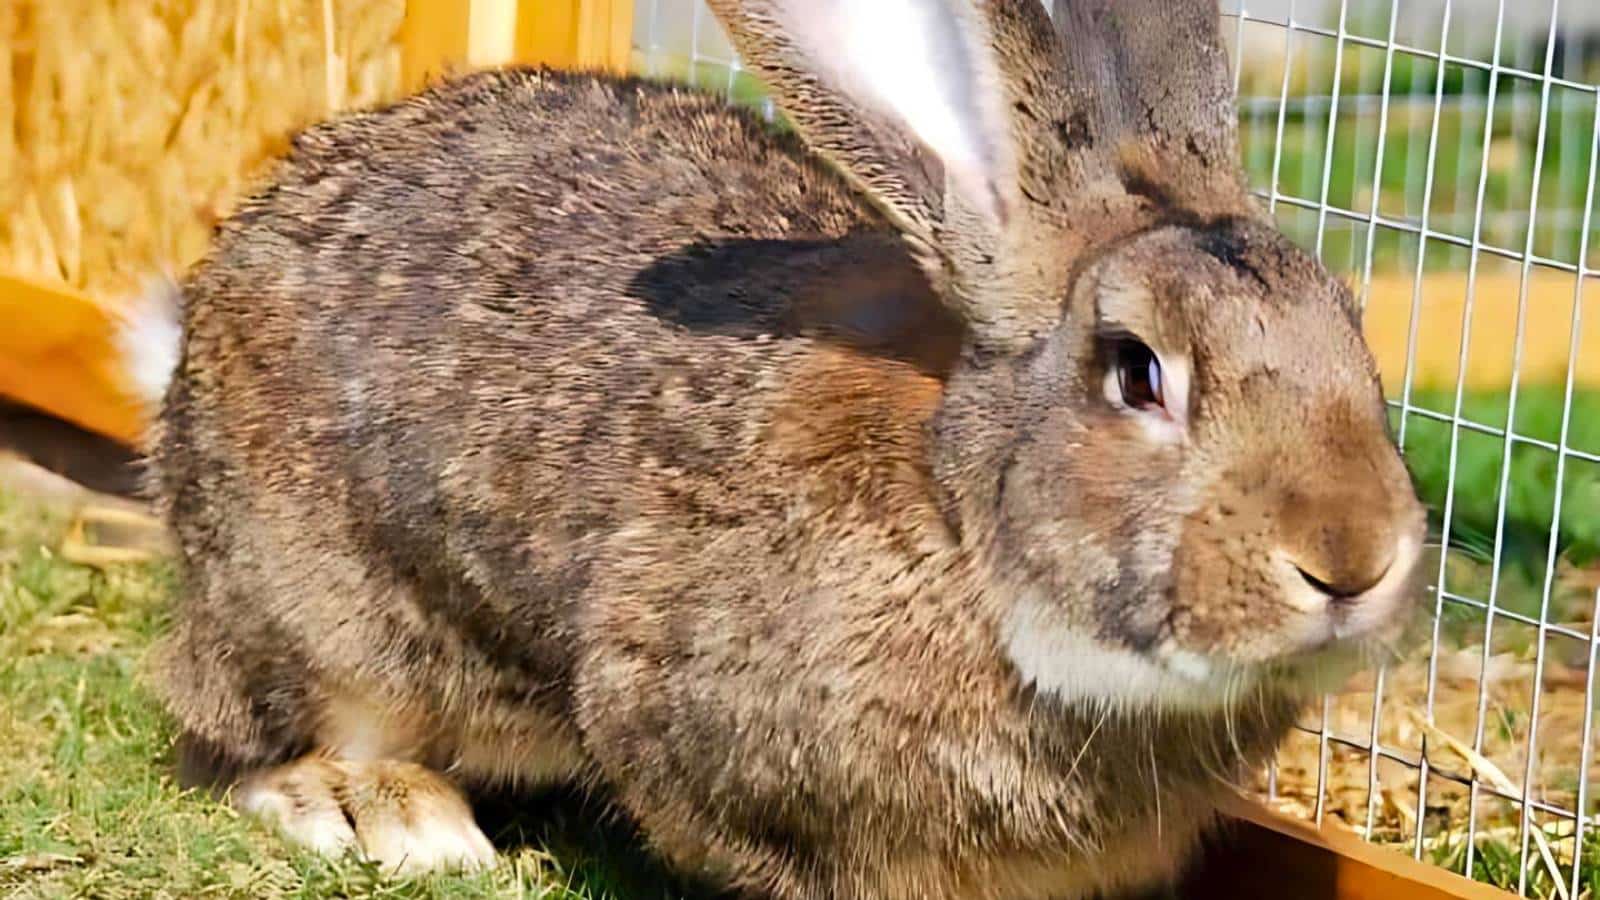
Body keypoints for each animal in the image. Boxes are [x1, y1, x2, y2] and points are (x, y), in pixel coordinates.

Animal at [137, 0, 1428, 895]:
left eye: (1352, 327)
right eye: (1136, 373)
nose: (1350, 558)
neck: (963, 527)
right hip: (315, 609)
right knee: (251, 733)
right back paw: (393, 818)